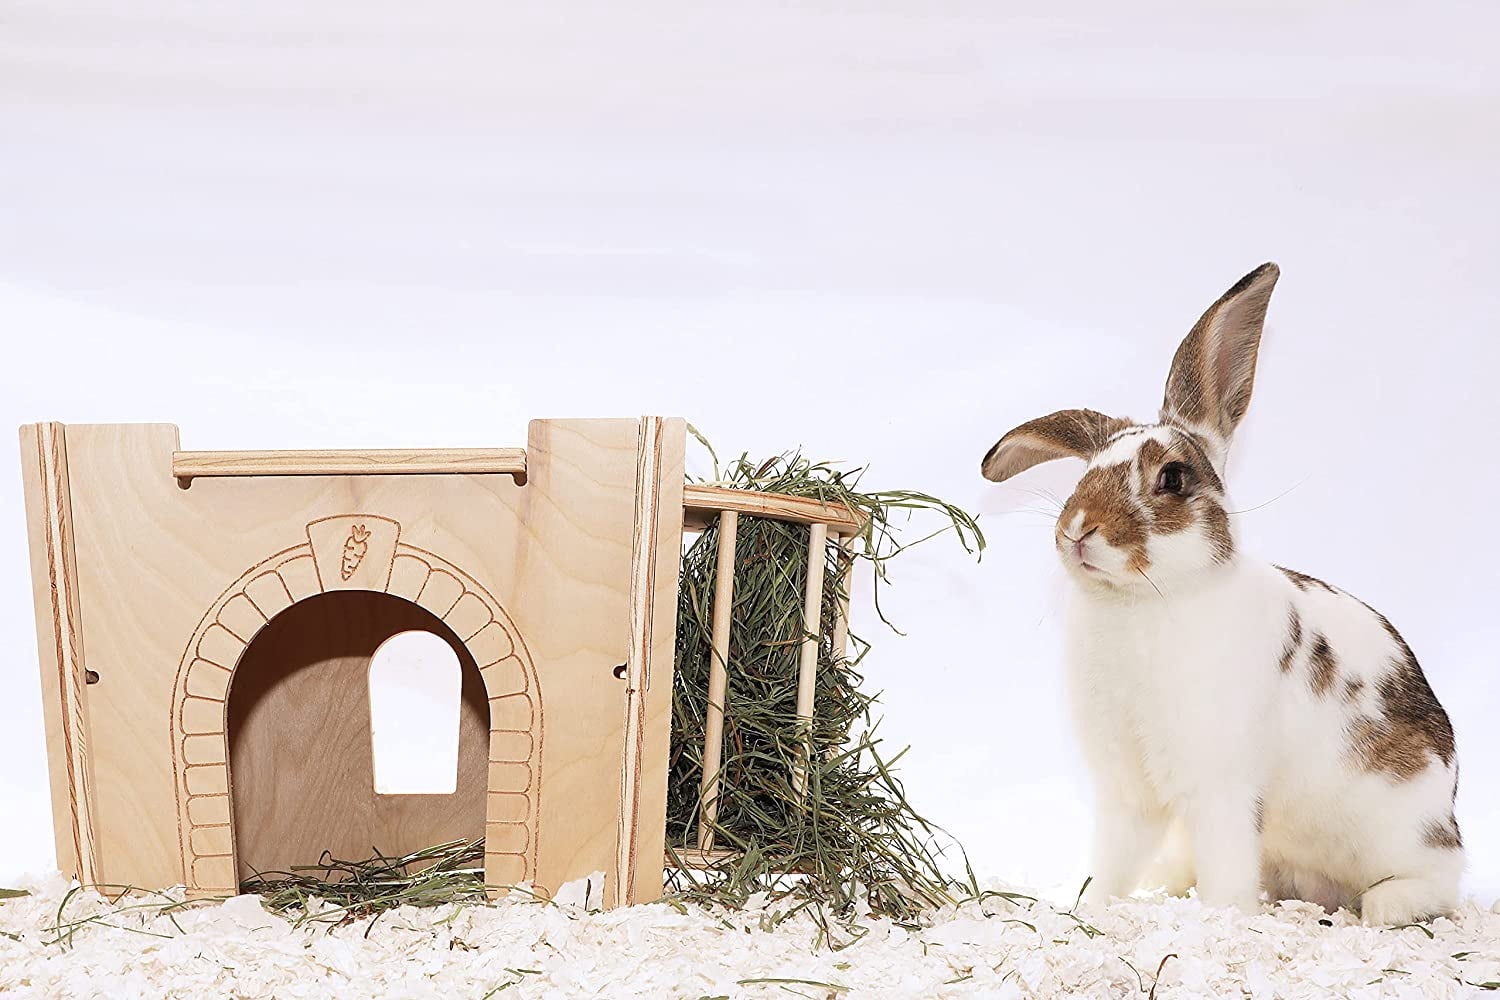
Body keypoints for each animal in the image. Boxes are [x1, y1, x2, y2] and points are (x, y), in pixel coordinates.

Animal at [979, 263, 1462, 925]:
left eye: (1173, 478)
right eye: (1085, 473)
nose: (1078, 529)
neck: (1141, 603)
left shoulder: (1221, 787)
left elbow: (1228, 866)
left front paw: (1222, 919)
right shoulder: (1126, 793)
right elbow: (1111, 861)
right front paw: (1090, 911)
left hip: (1408, 828)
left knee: (1442, 880)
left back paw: (1385, 906)